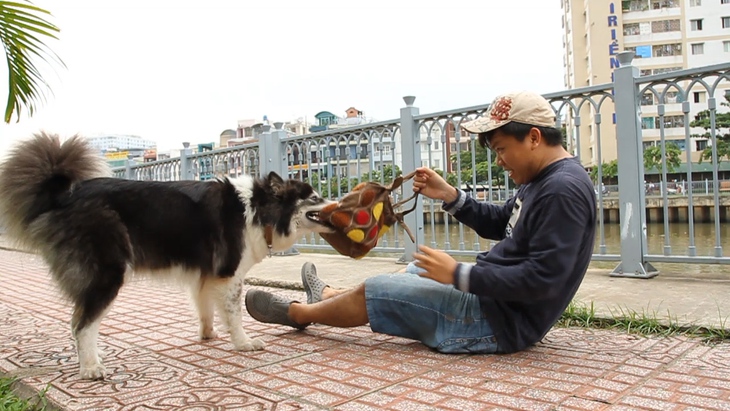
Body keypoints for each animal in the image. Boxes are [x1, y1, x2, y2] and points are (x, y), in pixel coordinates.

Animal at [0, 133, 334, 380]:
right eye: (314, 197)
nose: (337, 202)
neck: (257, 208)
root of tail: (64, 195)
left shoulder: (205, 276)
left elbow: (205, 309)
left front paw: (208, 335)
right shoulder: (229, 275)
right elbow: (234, 314)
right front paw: (243, 343)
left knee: (80, 320)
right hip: (108, 274)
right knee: (81, 323)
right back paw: (91, 368)